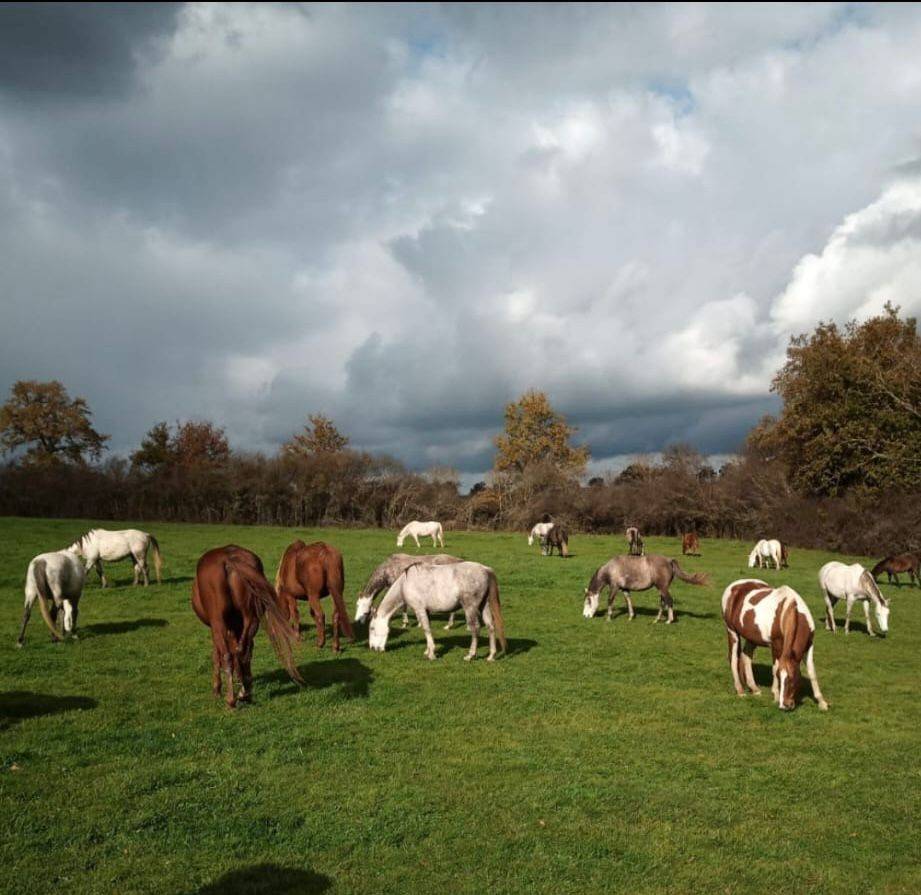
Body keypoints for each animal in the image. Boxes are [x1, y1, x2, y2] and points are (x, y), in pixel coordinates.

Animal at [191, 545, 301, 707]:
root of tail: (229, 559)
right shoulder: (236, 627)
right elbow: (239, 650)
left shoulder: (218, 627)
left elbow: (217, 655)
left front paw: (217, 689)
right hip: (251, 619)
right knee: (245, 651)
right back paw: (245, 693)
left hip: (219, 622)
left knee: (227, 655)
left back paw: (231, 700)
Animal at [368, 561, 506, 661]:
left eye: (372, 628)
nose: (373, 648)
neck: (405, 584)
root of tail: (485, 569)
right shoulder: (427, 611)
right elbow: (428, 630)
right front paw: (428, 650)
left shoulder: (419, 610)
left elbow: (426, 629)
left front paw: (431, 654)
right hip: (484, 606)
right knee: (490, 627)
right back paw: (491, 656)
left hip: (470, 608)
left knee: (475, 628)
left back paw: (470, 655)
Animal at [721, 579, 828, 711]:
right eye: (779, 677)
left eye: (792, 678)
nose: (784, 705)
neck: (788, 610)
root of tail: (734, 586)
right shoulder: (776, 645)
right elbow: (775, 667)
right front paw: (776, 695)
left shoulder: (809, 646)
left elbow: (812, 672)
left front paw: (822, 702)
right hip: (732, 632)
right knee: (734, 658)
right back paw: (740, 691)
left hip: (752, 638)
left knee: (746, 656)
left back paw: (754, 689)